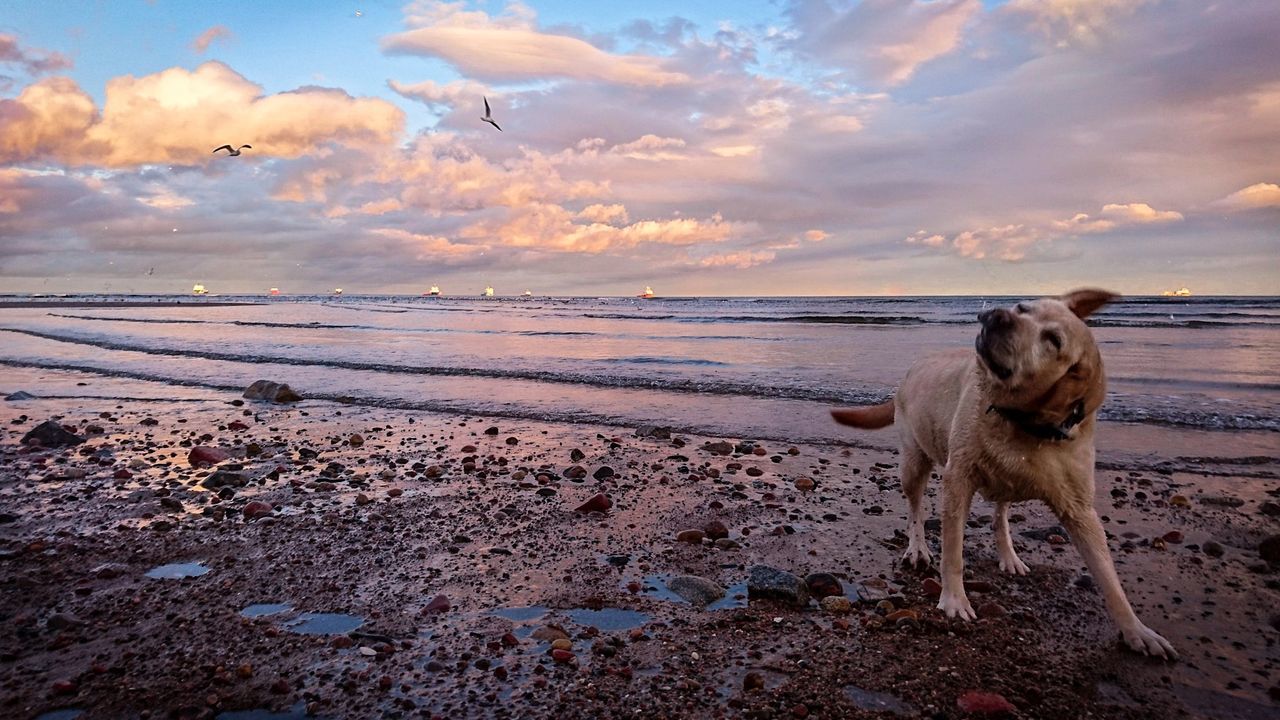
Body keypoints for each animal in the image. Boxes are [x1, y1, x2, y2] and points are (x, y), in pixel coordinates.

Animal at [834, 288, 1172, 661]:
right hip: (913, 460)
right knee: (915, 509)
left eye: (1053, 340)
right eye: (1022, 307)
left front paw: (1136, 630)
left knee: (1001, 513)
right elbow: (953, 552)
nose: (998, 316)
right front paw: (954, 600)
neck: (1021, 421)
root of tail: (910, 371)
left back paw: (1008, 555)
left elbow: (1108, 576)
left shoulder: (1079, 508)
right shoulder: (958, 481)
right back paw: (918, 548)